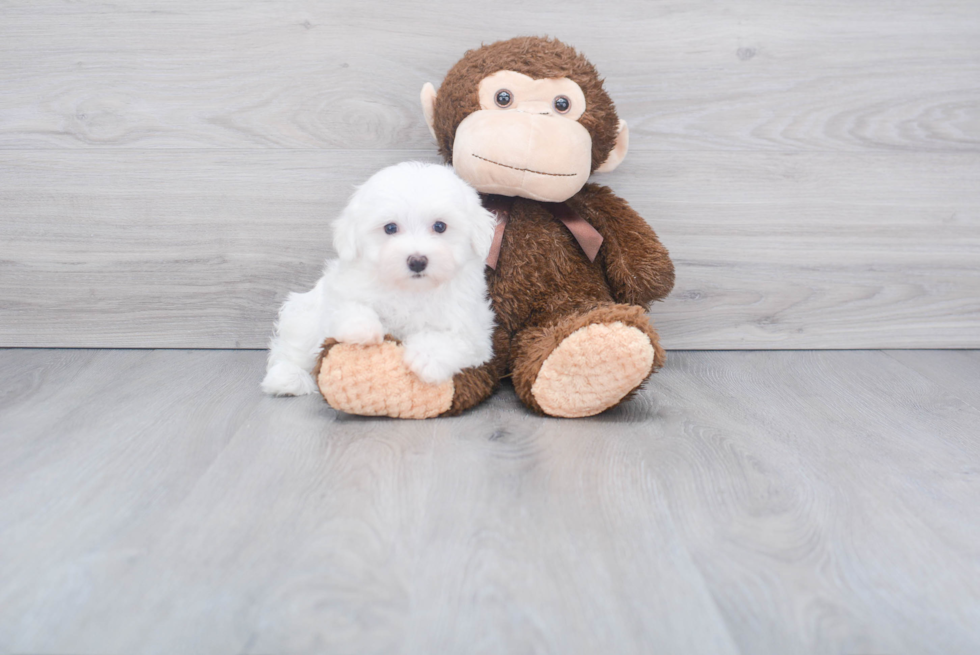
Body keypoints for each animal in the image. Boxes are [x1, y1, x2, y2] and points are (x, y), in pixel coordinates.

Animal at [262, 161, 498, 398]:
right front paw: (362, 328)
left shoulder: (475, 329)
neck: (411, 290)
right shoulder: (341, 288)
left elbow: (455, 340)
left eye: (440, 226)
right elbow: (345, 307)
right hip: (303, 316)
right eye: (390, 228)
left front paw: (426, 357)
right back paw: (288, 377)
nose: (417, 261)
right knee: (292, 348)